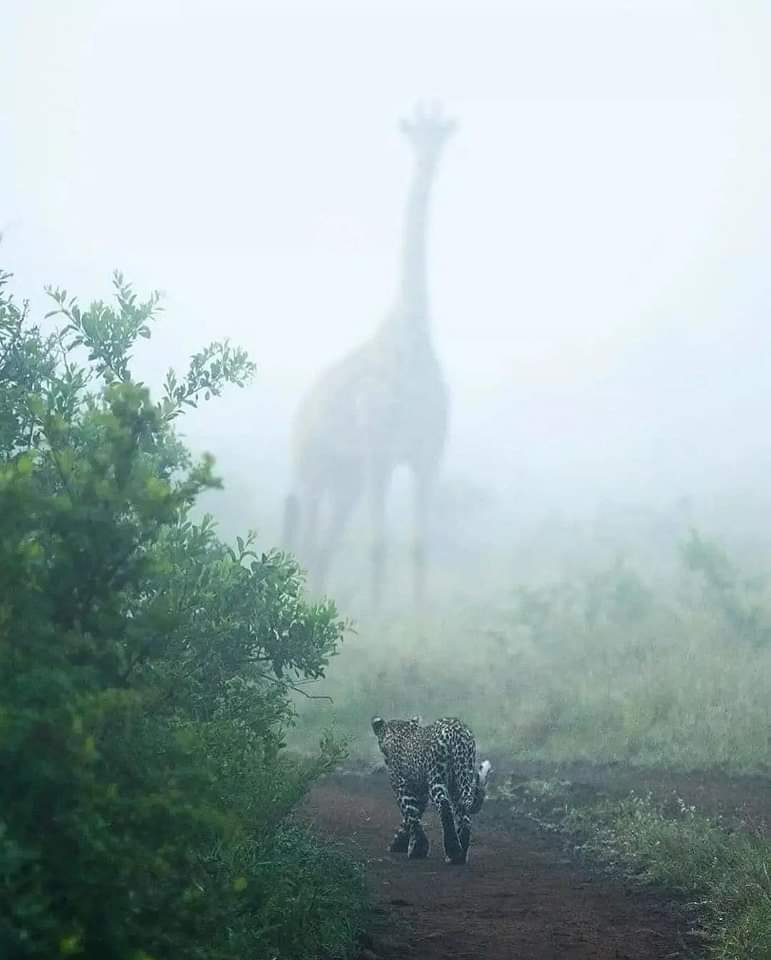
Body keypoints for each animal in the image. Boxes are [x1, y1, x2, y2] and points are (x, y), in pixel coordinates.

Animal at [284, 103, 456, 608]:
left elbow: (419, 545)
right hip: (312, 468)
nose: (428, 157)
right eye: (414, 132)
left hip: (347, 479)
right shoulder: (381, 450)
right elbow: (379, 544)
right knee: (306, 542)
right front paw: (379, 618)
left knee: (323, 547)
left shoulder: (428, 454)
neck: (413, 336)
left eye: (442, 133)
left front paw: (418, 619)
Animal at [370, 712, 492, 864]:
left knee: (444, 805)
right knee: (464, 814)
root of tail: (458, 732)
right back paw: (460, 855)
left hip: (436, 777)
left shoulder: (402, 787)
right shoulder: (420, 793)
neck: (398, 733)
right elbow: (411, 818)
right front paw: (402, 843)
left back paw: (453, 850)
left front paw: (416, 849)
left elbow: (411, 815)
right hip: (461, 780)